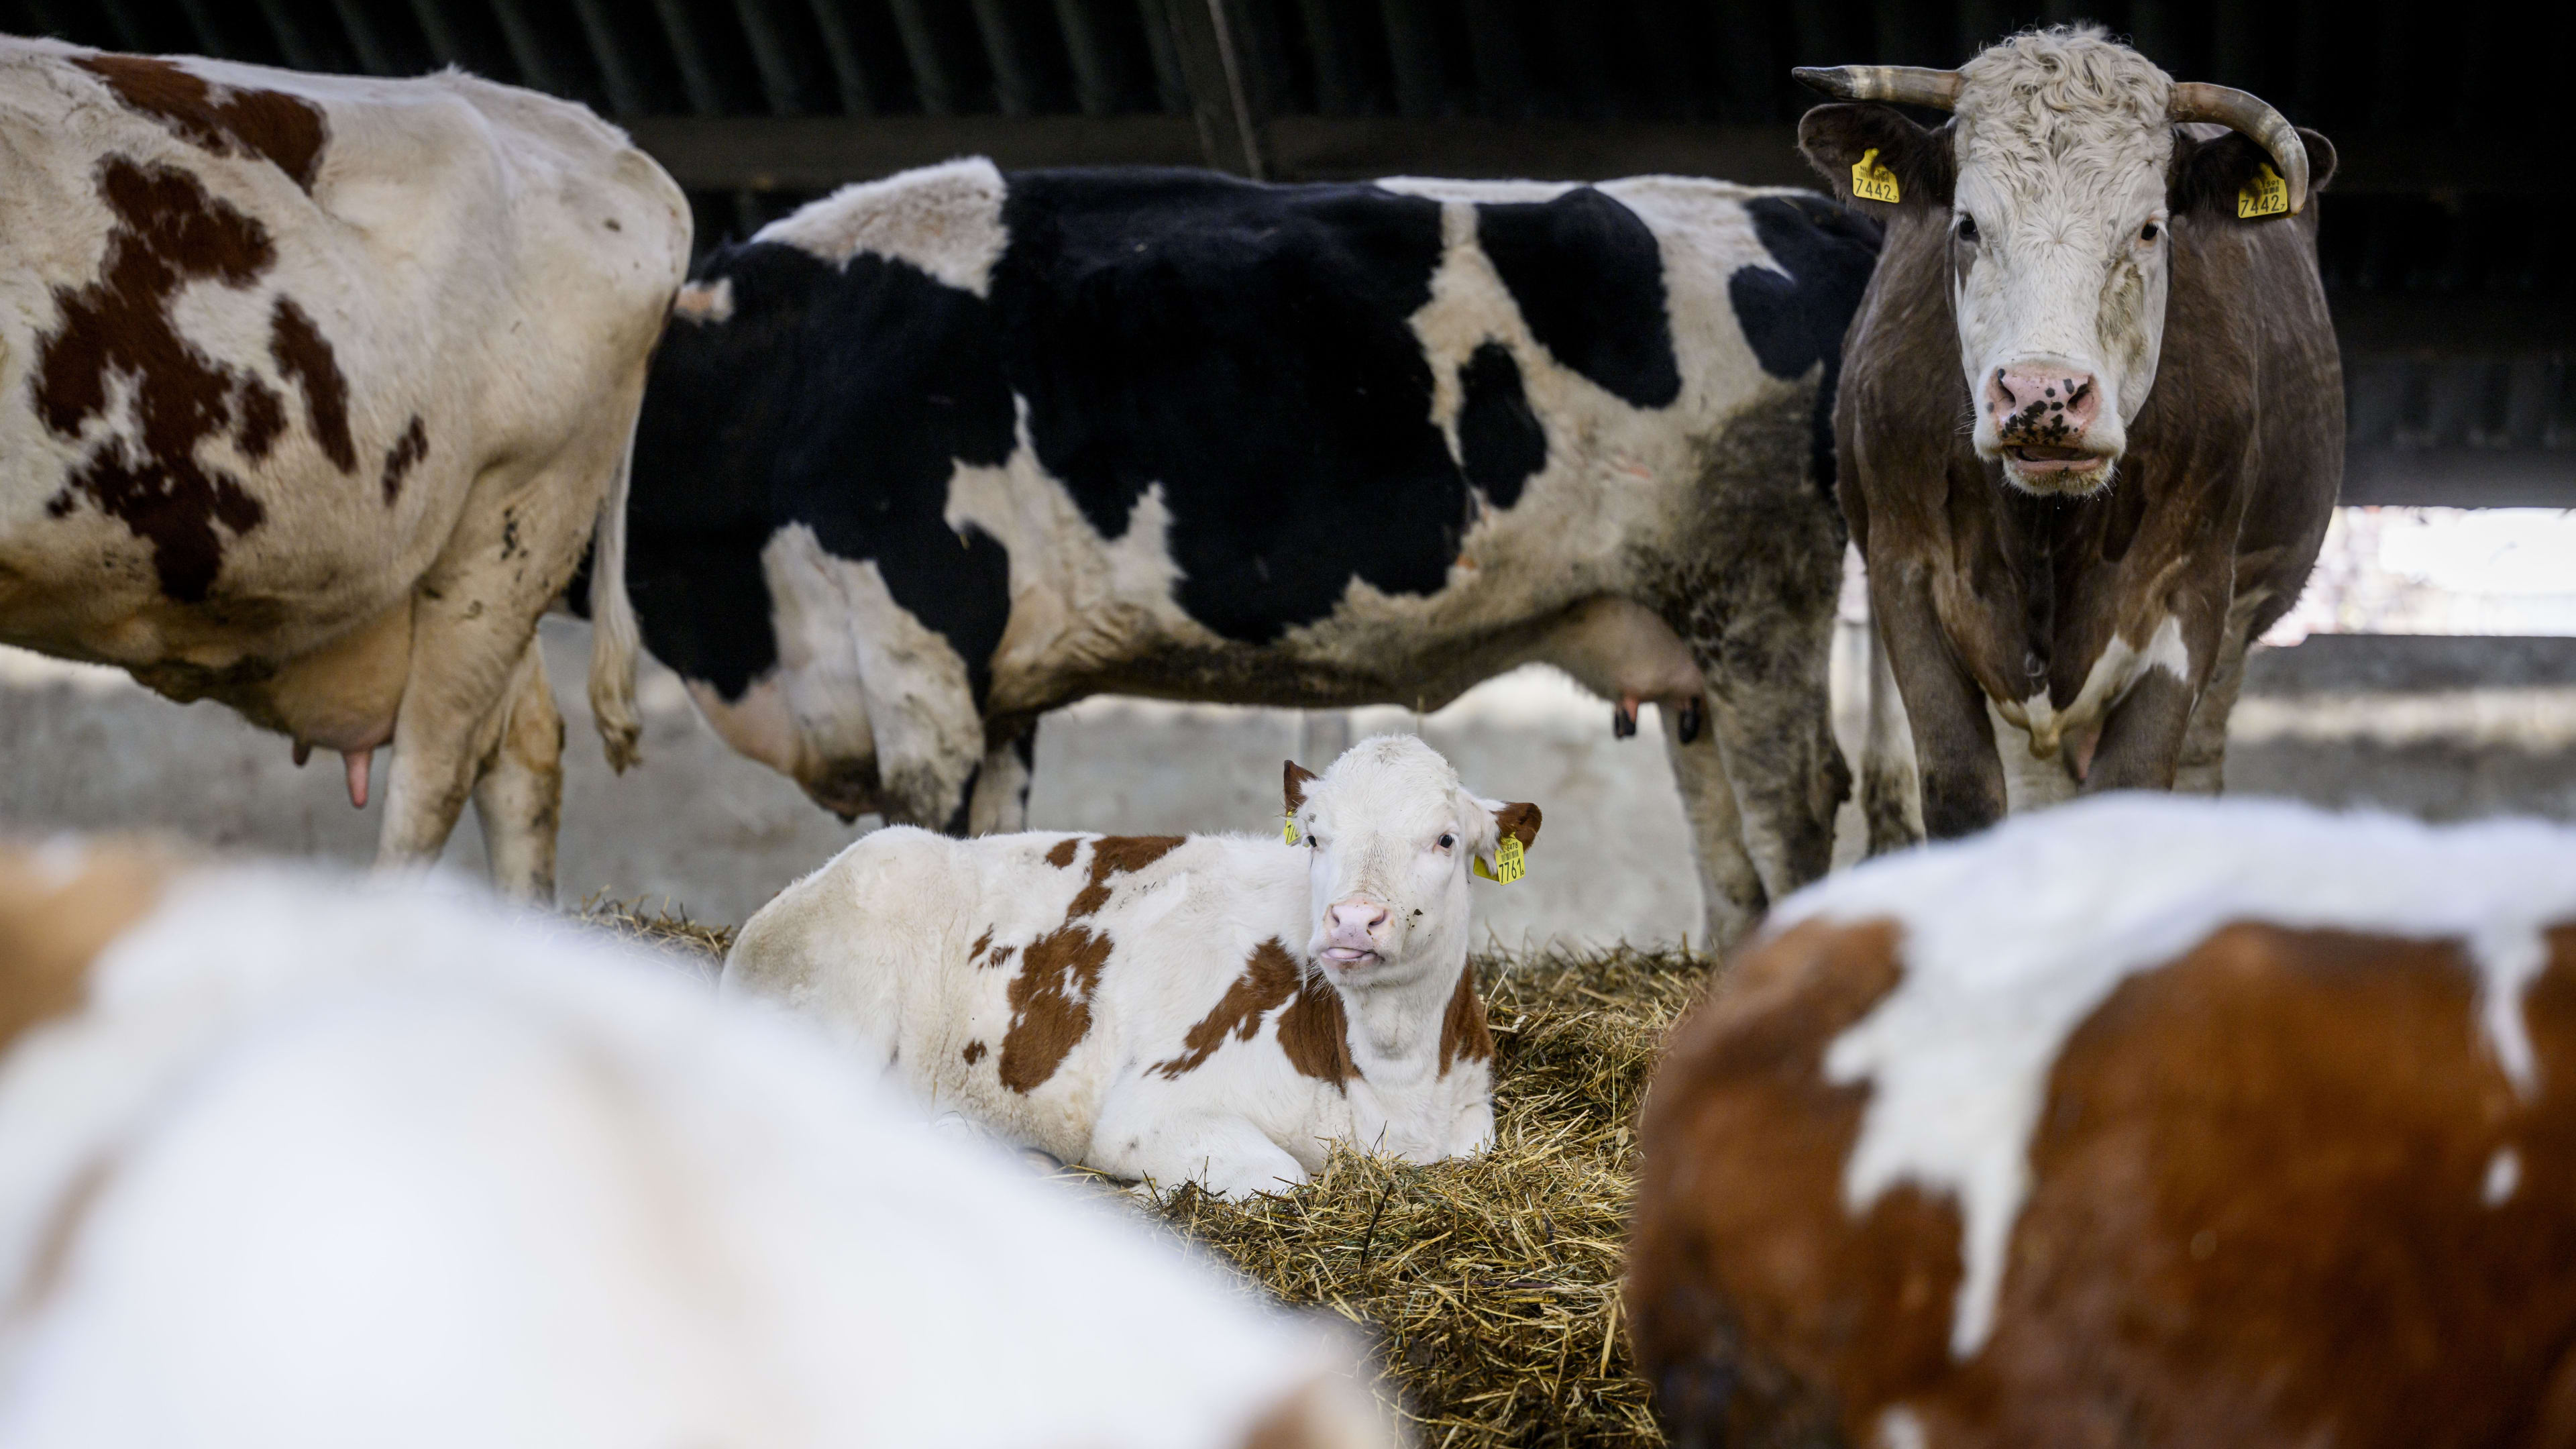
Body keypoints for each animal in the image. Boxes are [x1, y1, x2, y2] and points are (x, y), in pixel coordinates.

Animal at [592, 160, 1875, 949]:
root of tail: (1803, 208)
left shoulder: (915, 644)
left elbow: (932, 838)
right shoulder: (991, 693)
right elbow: (998, 848)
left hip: (1759, 587)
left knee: (1795, 806)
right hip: (1681, 631)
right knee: (1727, 844)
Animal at [716, 732, 1535, 1196]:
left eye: (1444, 840)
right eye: (1314, 837)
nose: (1353, 920)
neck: (1393, 1081)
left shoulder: (1472, 1119)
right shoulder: (1149, 1113)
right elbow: (1285, 1183)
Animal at [1803, 28, 2349, 840]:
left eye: (2150, 229)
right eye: (1967, 224)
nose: (2043, 395)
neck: (2043, 530)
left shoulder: (2191, 594)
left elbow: (2134, 786)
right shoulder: (1905, 572)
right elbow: (1963, 789)